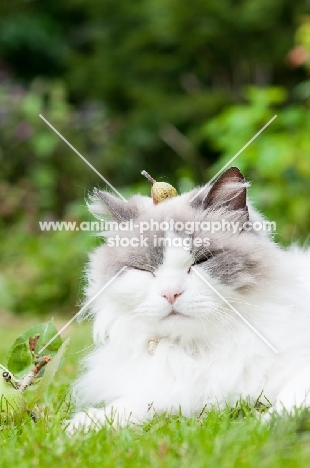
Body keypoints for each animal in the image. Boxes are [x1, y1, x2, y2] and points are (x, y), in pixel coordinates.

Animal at [67, 166, 310, 434]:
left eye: (201, 261)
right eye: (145, 270)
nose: (170, 293)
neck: (199, 351)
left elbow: (290, 400)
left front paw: (263, 427)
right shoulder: (171, 393)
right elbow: (130, 407)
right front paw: (82, 427)